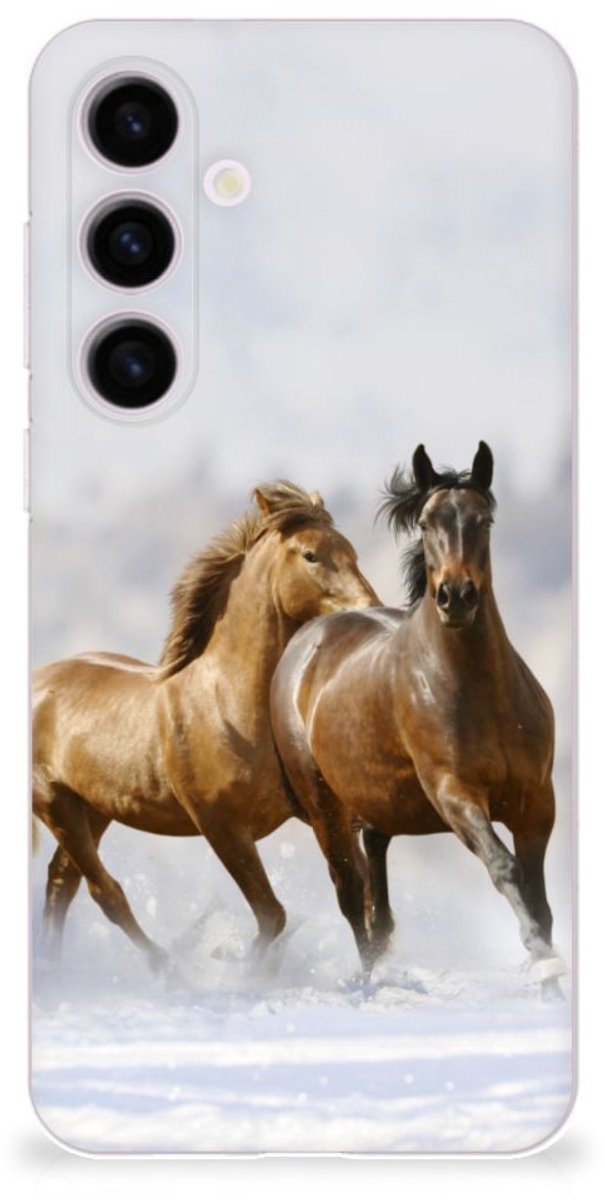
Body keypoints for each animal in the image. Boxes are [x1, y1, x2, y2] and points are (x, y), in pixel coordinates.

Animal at [33, 481, 379, 971]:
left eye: (351, 551)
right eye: (311, 555)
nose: (371, 609)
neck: (228, 705)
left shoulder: (322, 814)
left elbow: (356, 896)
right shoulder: (222, 827)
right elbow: (272, 915)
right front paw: (238, 966)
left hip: (93, 809)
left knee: (62, 882)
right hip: (55, 804)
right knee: (105, 892)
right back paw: (164, 966)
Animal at [270, 444, 564, 994]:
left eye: (484, 519)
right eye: (427, 523)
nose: (456, 596)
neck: (479, 692)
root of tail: (306, 640)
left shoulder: (536, 801)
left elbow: (539, 898)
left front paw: (552, 980)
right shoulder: (455, 793)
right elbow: (505, 868)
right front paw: (541, 961)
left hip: (378, 805)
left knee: (376, 895)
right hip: (325, 809)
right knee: (351, 896)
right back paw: (368, 983)